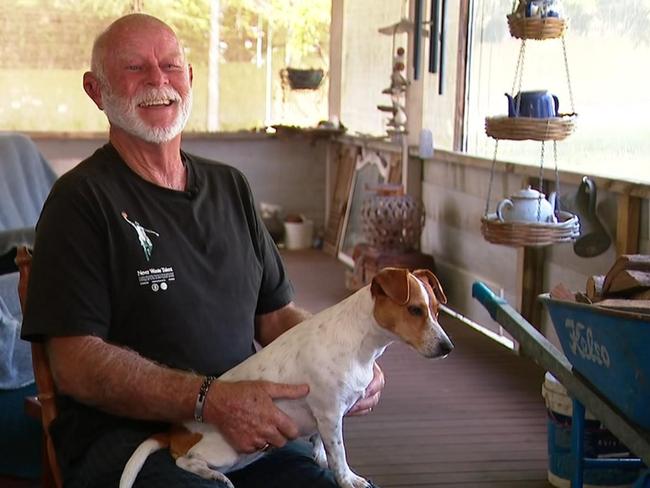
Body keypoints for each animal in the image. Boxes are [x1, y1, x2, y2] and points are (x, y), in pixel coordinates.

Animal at [119, 266, 450, 488]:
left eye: (436, 310)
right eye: (415, 310)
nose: (448, 347)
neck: (360, 343)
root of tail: (175, 431)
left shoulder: (325, 419)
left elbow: (323, 445)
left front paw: (320, 457)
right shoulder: (330, 414)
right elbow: (340, 454)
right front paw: (348, 479)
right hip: (224, 449)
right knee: (185, 460)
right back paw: (213, 475)